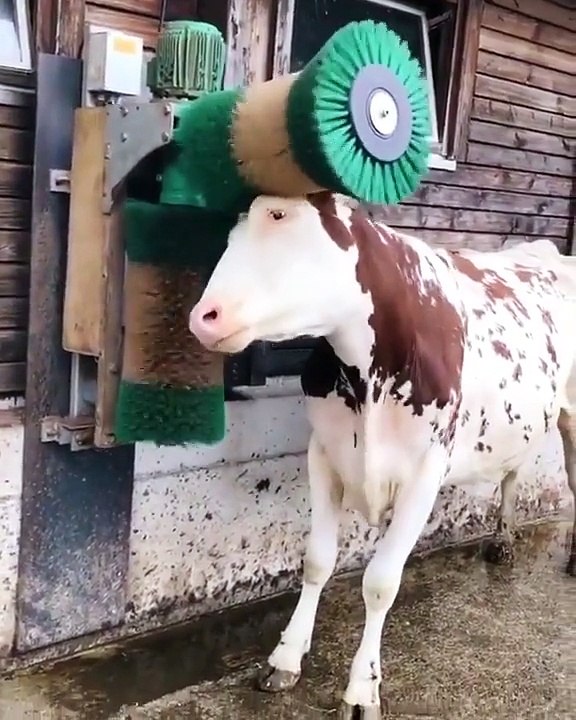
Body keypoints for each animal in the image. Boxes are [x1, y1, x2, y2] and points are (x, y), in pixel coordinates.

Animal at [188, 192, 576, 719]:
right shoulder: (323, 450)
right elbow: (317, 560)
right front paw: (286, 657)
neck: (369, 371)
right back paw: (503, 540)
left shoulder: (426, 471)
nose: (202, 316)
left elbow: (380, 583)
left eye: (281, 217)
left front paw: (361, 689)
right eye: (233, 232)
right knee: (514, 470)